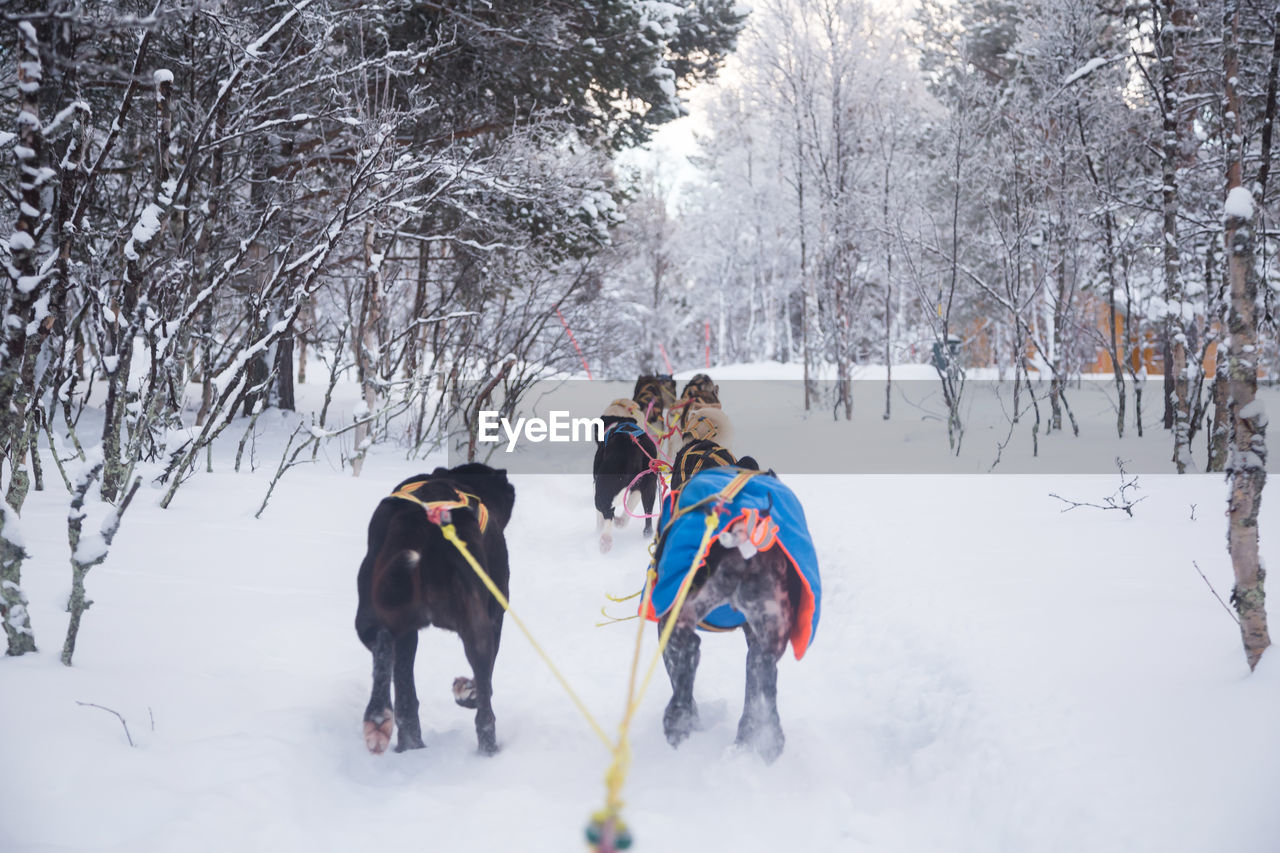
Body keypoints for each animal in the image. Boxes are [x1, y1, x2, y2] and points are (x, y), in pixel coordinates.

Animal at [355, 466, 514, 753]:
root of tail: (420, 526)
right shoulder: (497, 615)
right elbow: (485, 682)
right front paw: (468, 692)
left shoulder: (409, 635)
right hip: (478, 624)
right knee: (485, 711)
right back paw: (488, 749)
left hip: (372, 615)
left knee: (385, 650)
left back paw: (381, 722)